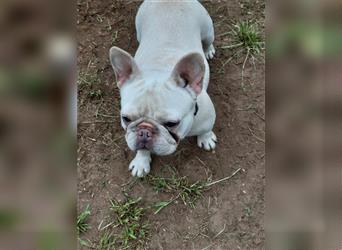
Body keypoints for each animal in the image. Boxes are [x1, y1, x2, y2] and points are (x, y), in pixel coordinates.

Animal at [109, 0, 216, 177]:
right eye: (126, 119)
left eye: (171, 123)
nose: (144, 131)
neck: (160, 69)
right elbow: (141, 148)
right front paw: (141, 160)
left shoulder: (208, 118)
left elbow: (206, 129)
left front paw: (206, 138)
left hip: (208, 29)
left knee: (207, 41)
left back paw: (208, 51)